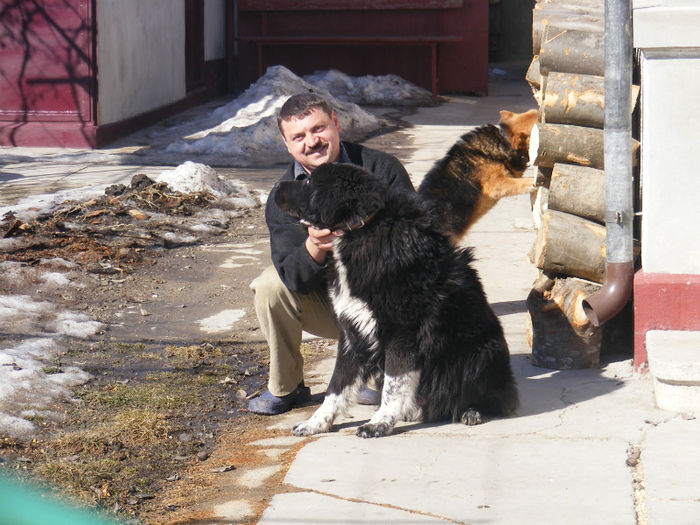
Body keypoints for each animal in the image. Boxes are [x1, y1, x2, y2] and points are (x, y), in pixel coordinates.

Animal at [276, 165, 516, 438]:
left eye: (308, 182)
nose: (276, 188)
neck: (360, 229)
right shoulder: (352, 332)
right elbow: (336, 387)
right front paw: (316, 422)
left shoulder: (402, 333)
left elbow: (393, 384)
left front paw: (379, 422)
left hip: (482, 353)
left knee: (492, 398)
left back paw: (473, 411)